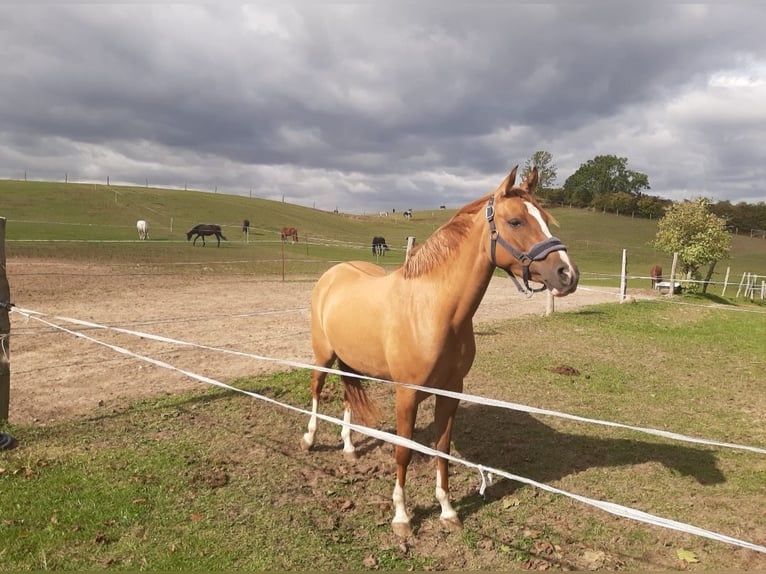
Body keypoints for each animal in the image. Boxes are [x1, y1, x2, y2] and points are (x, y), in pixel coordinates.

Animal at [304, 166, 580, 540]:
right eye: (516, 221)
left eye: (545, 219)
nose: (568, 274)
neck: (433, 310)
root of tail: (334, 273)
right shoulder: (406, 395)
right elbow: (404, 452)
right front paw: (402, 518)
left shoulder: (450, 392)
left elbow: (442, 450)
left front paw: (448, 511)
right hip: (323, 356)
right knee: (317, 390)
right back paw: (310, 439)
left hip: (353, 362)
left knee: (348, 396)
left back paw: (348, 447)